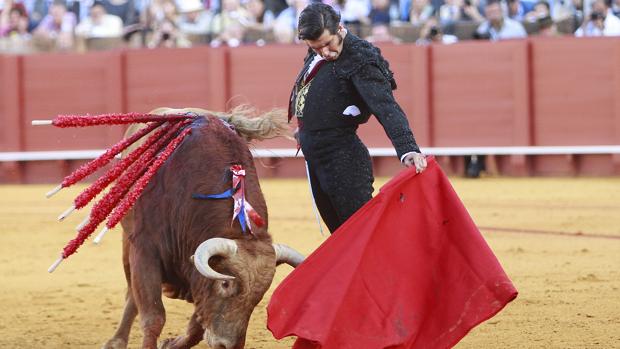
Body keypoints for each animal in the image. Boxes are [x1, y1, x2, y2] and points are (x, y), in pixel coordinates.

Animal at [101, 106, 302, 348]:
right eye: (225, 283)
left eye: (260, 295)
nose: (228, 345)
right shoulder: (145, 249)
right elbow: (153, 317)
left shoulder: (198, 281)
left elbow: (198, 324)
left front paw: (172, 343)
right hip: (127, 237)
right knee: (132, 291)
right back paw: (116, 341)